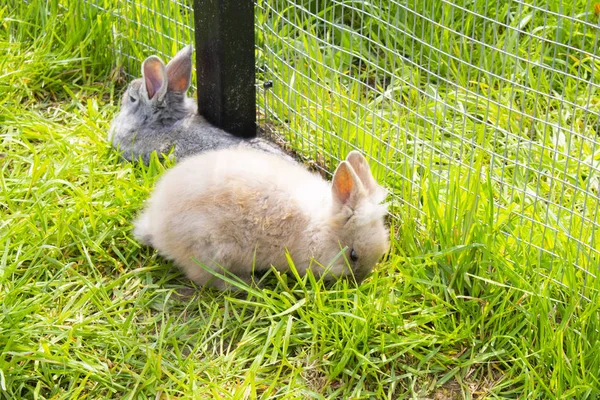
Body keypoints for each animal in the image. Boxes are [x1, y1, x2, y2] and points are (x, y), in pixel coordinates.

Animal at [132, 148, 390, 290]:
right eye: (353, 255)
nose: (359, 280)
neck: (318, 228)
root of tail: (156, 228)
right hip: (211, 249)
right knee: (203, 278)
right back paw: (246, 284)